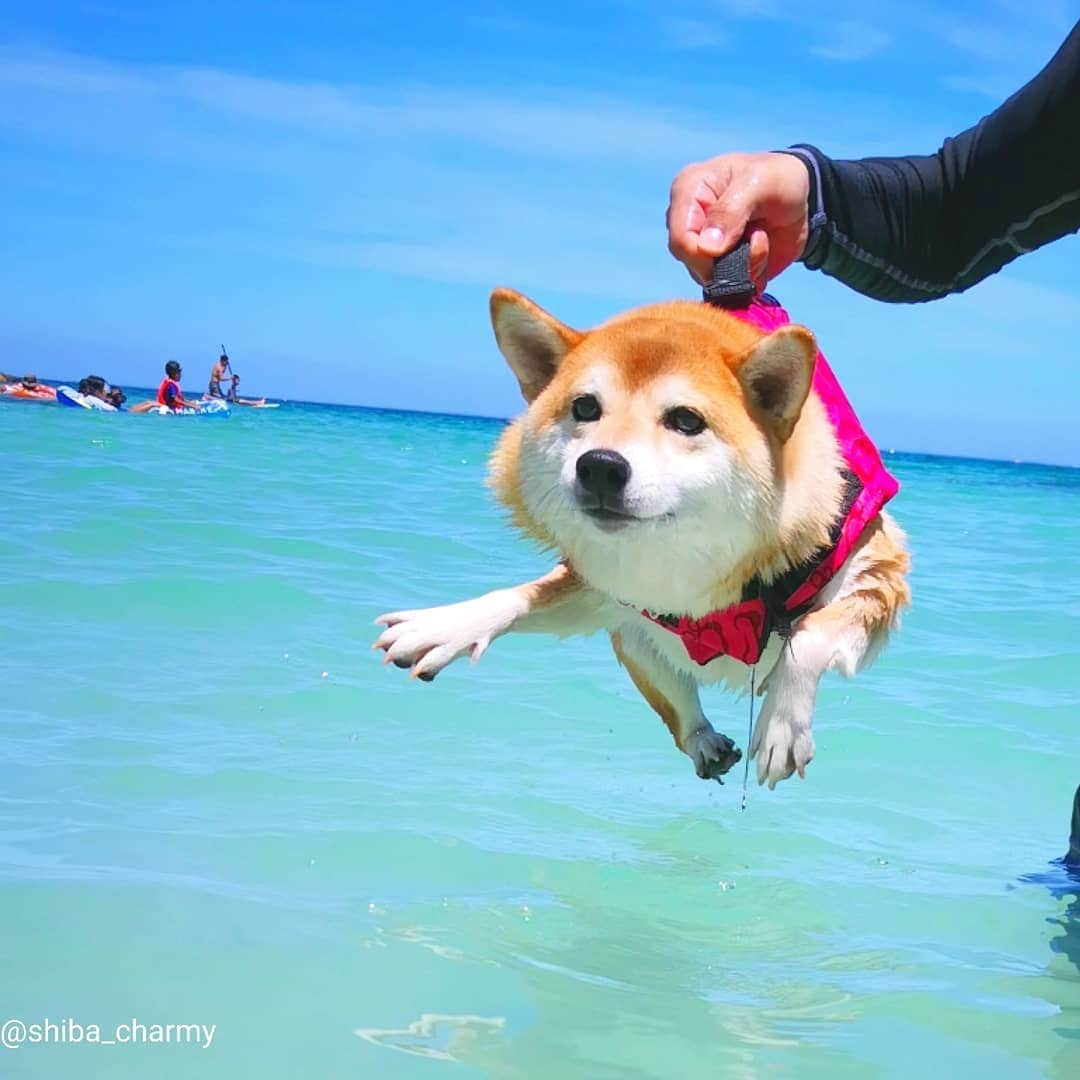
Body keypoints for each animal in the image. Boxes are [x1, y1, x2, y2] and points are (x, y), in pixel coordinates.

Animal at [375, 291, 907, 790]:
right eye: (585, 407)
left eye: (686, 420)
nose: (599, 466)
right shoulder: (614, 600)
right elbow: (525, 598)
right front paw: (445, 626)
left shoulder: (876, 572)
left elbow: (808, 635)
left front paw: (781, 726)